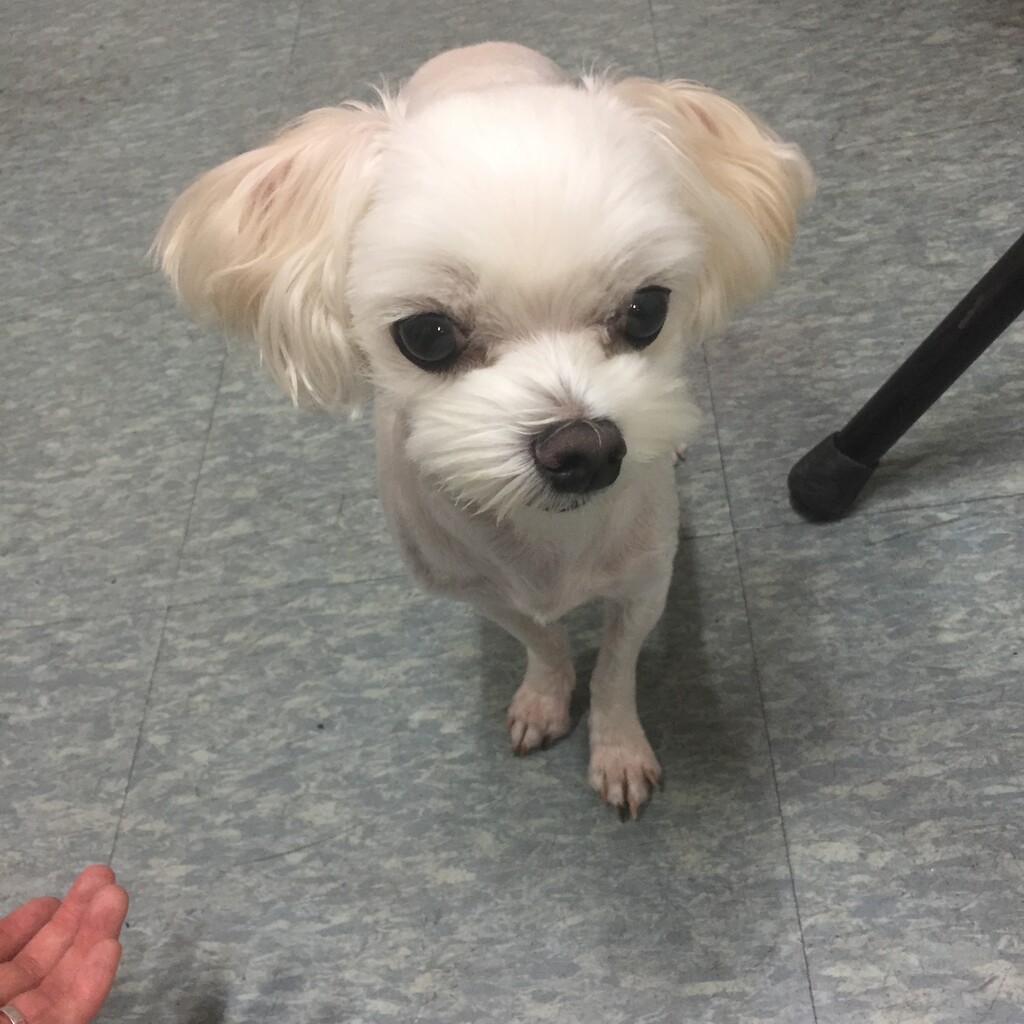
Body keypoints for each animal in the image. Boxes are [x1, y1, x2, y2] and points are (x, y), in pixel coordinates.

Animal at [155, 42, 812, 817]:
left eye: (647, 310)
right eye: (426, 336)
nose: (586, 449)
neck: (545, 540)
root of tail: (477, 52)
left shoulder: (646, 582)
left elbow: (617, 669)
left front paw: (617, 748)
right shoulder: (476, 589)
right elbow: (543, 641)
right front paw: (545, 697)